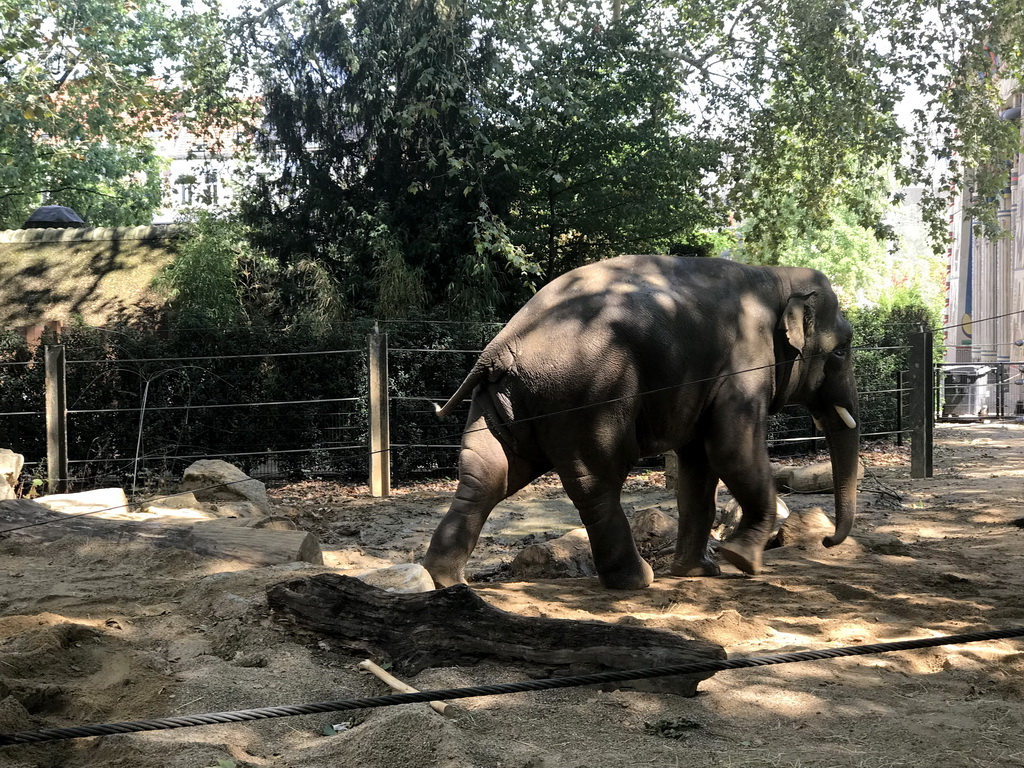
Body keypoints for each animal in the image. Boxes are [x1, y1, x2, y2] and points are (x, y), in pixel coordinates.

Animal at [419, 256, 860, 593]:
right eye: (842, 350)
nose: (827, 540)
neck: (775, 276)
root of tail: (501, 344)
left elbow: (699, 465)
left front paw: (699, 571)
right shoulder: (745, 364)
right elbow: (730, 451)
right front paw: (742, 560)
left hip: (502, 401)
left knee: (486, 477)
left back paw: (445, 581)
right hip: (589, 394)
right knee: (597, 480)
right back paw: (636, 581)